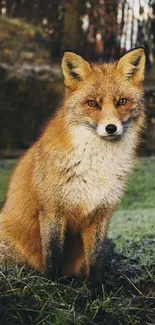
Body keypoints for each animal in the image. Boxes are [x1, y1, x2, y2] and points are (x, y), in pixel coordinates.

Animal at [0, 48, 145, 280]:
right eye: (92, 103)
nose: (111, 128)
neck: (96, 165)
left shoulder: (101, 213)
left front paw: (96, 286)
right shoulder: (52, 210)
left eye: (122, 101)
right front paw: (54, 283)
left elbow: (95, 260)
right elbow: (53, 255)